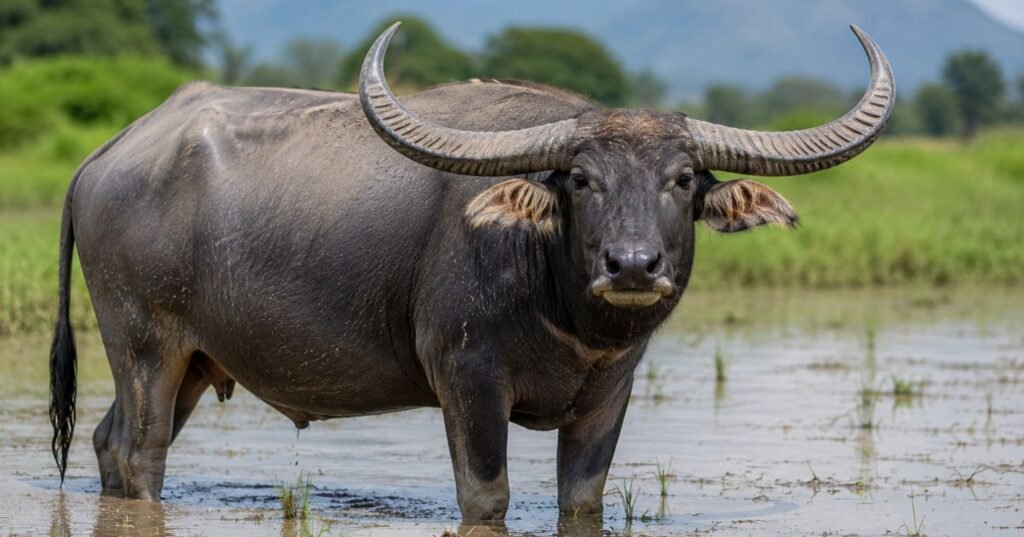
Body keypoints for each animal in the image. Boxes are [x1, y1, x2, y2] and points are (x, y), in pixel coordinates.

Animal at [49, 23, 893, 521]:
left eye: (683, 179)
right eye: (580, 179)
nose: (632, 265)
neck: (560, 304)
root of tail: (108, 154)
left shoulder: (608, 395)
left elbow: (581, 498)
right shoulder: (467, 380)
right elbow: (486, 497)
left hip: (193, 359)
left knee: (106, 441)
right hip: (144, 343)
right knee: (140, 452)